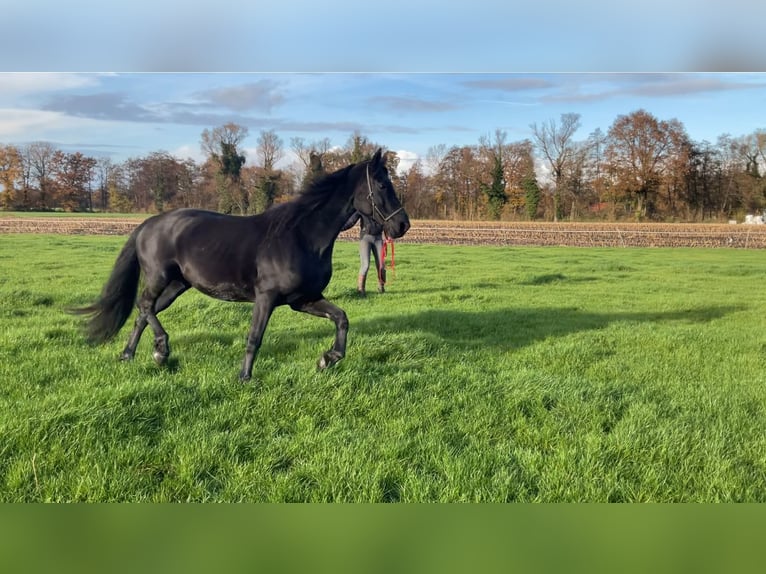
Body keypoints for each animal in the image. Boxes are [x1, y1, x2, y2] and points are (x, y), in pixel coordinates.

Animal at [72, 148, 412, 382]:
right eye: (382, 185)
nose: (403, 225)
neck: (302, 235)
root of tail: (148, 224)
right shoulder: (266, 297)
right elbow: (254, 337)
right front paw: (245, 377)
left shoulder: (303, 300)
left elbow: (341, 319)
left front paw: (328, 358)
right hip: (158, 277)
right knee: (144, 306)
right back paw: (160, 349)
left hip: (177, 285)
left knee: (144, 313)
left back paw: (131, 355)